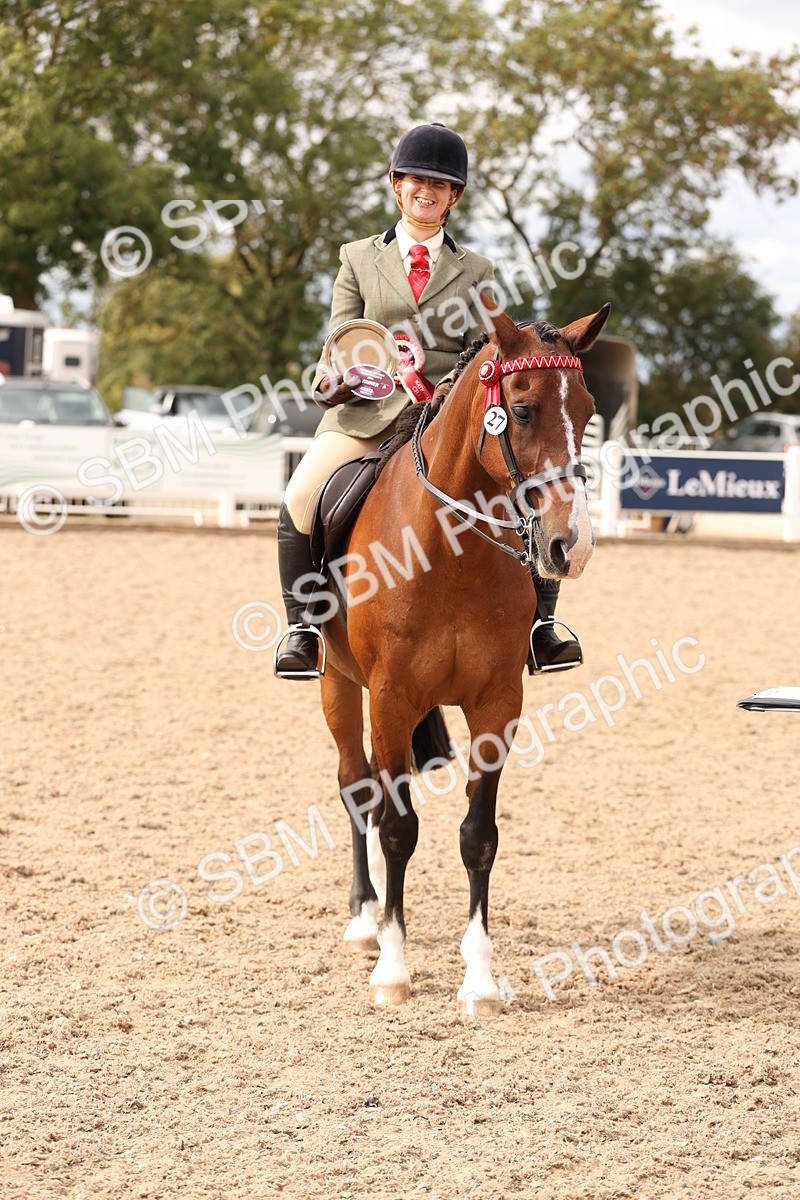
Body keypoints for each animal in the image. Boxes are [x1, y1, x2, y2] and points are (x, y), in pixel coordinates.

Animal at [312, 303, 610, 1012]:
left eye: (588, 411)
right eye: (522, 410)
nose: (573, 545)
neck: (448, 553)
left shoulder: (497, 703)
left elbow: (479, 835)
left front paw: (479, 979)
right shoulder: (390, 698)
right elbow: (398, 827)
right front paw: (393, 968)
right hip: (339, 686)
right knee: (356, 787)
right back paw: (365, 919)